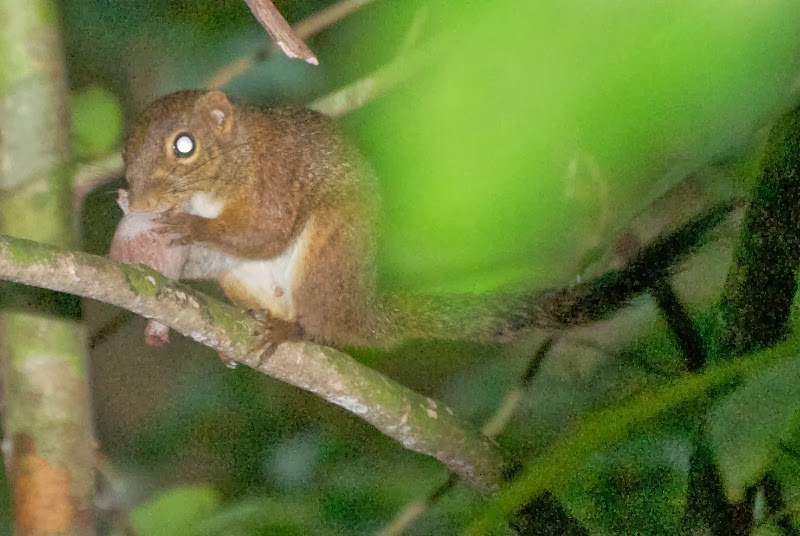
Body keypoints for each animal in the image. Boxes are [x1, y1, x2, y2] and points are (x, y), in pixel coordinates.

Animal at [120, 90, 736, 354]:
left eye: (184, 146)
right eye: (124, 153)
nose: (137, 192)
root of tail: (361, 312)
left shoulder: (274, 179)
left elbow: (266, 229)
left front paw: (189, 229)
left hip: (332, 253)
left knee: (323, 325)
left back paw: (296, 330)